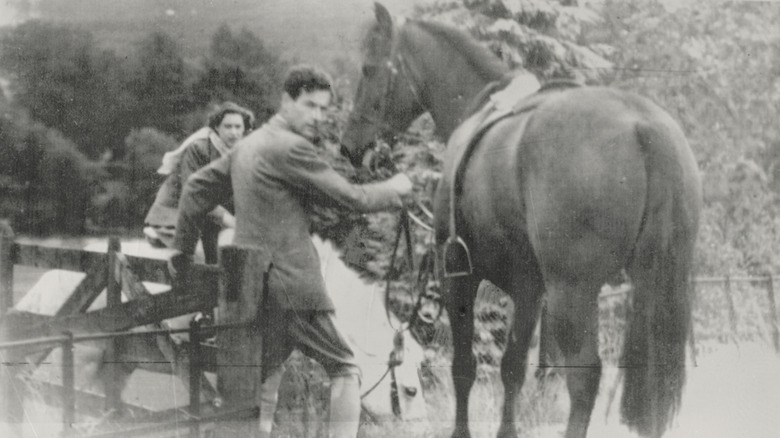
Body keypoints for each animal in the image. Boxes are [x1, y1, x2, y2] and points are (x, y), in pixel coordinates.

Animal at [342, 3, 700, 438]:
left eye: (369, 69)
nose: (349, 147)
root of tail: (641, 124)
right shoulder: (530, 288)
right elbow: (512, 367)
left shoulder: (457, 275)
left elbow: (465, 367)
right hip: (651, 285)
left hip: (573, 292)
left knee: (584, 377)